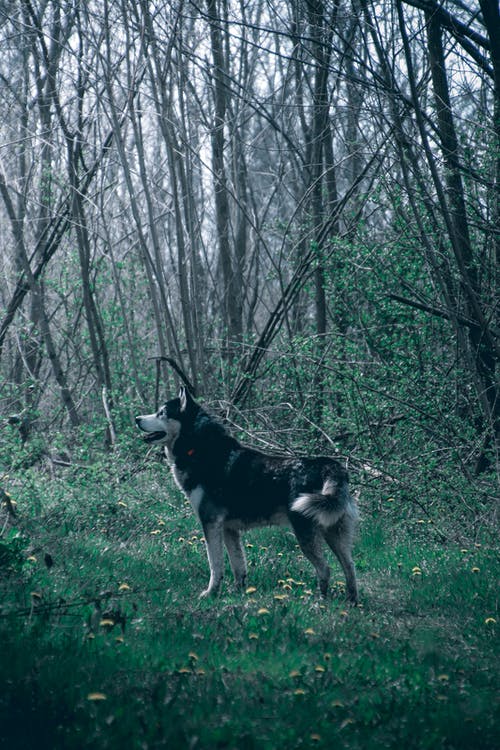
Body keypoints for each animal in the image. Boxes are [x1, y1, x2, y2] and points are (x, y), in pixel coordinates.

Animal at [135, 388, 358, 604]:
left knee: (325, 569)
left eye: (161, 413)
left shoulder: (210, 523)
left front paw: (211, 593)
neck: (198, 448)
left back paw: (320, 602)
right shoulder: (229, 529)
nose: (136, 419)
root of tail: (330, 466)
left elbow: (215, 565)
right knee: (350, 567)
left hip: (306, 534)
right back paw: (351, 603)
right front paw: (238, 593)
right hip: (334, 535)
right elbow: (238, 566)